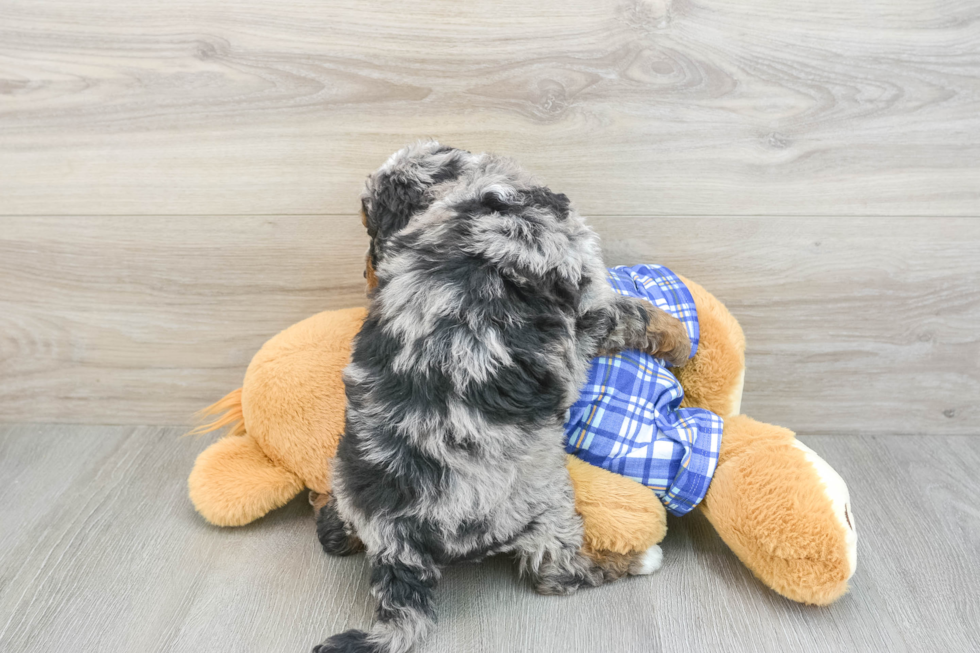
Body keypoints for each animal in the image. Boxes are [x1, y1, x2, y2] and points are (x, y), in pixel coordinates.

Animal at [314, 143, 688, 652]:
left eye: (372, 229)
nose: (368, 274)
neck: (471, 194)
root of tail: (397, 536)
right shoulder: (592, 304)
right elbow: (638, 311)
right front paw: (683, 340)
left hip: (346, 474)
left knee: (332, 534)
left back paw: (330, 516)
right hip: (545, 505)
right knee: (556, 573)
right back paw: (634, 560)